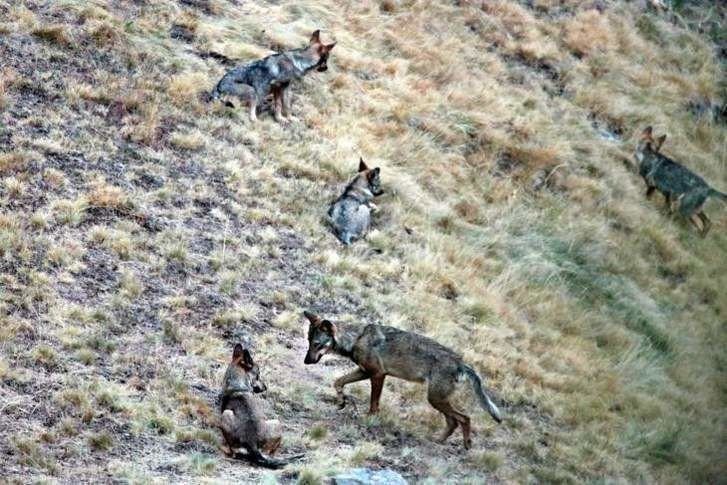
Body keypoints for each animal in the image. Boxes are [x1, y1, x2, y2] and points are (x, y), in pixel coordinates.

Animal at [304, 308, 504, 448]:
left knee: (465, 418)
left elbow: (373, 404)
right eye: (308, 342)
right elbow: (338, 382)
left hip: (435, 399)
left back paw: (466, 444)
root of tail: (461, 363)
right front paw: (341, 401)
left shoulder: (377, 375)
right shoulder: (364, 372)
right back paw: (437, 440)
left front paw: (369, 420)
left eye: (316, 344)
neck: (357, 339)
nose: (306, 361)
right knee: (454, 421)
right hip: (437, 400)